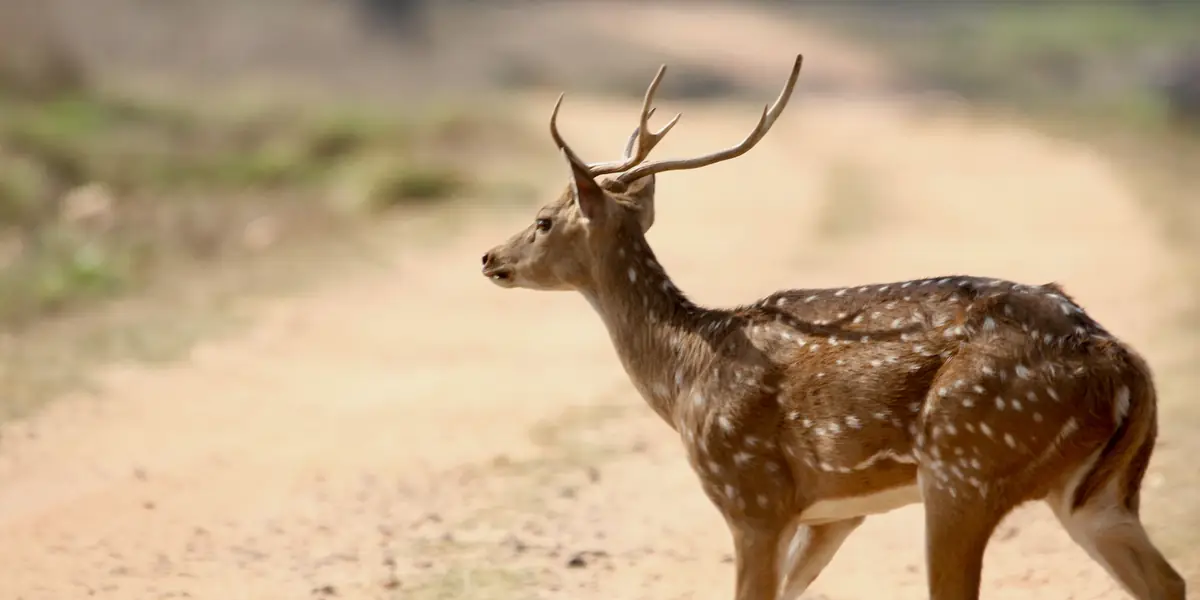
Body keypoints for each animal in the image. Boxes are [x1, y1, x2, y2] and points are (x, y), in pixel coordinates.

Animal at [478, 54, 1185, 600]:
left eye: (543, 219)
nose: (489, 257)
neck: (685, 379)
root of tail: (1119, 359)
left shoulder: (752, 494)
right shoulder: (832, 515)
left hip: (968, 461)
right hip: (1095, 493)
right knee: (1167, 580)